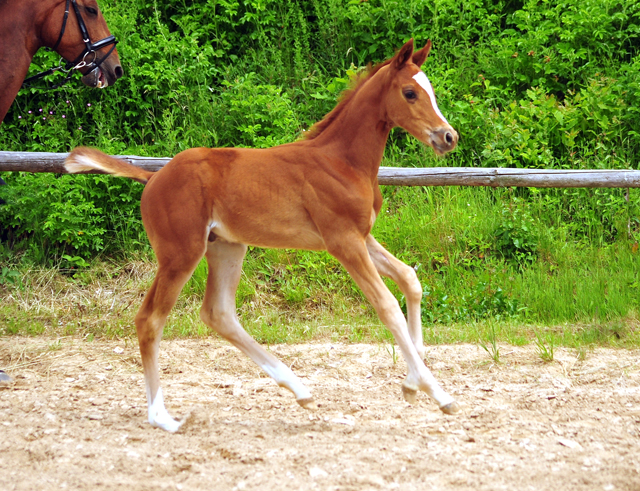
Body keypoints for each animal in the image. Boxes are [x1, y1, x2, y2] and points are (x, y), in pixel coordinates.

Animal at [65, 39, 460, 430]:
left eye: (431, 90)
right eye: (410, 93)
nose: (448, 136)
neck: (343, 162)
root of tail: (153, 177)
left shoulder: (363, 237)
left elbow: (410, 279)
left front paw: (412, 384)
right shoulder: (344, 242)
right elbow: (387, 306)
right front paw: (438, 394)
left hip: (226, 248)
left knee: (219, 313)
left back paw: (299, 389)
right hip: (180, 255)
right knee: (150, 320)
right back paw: (162, 416)